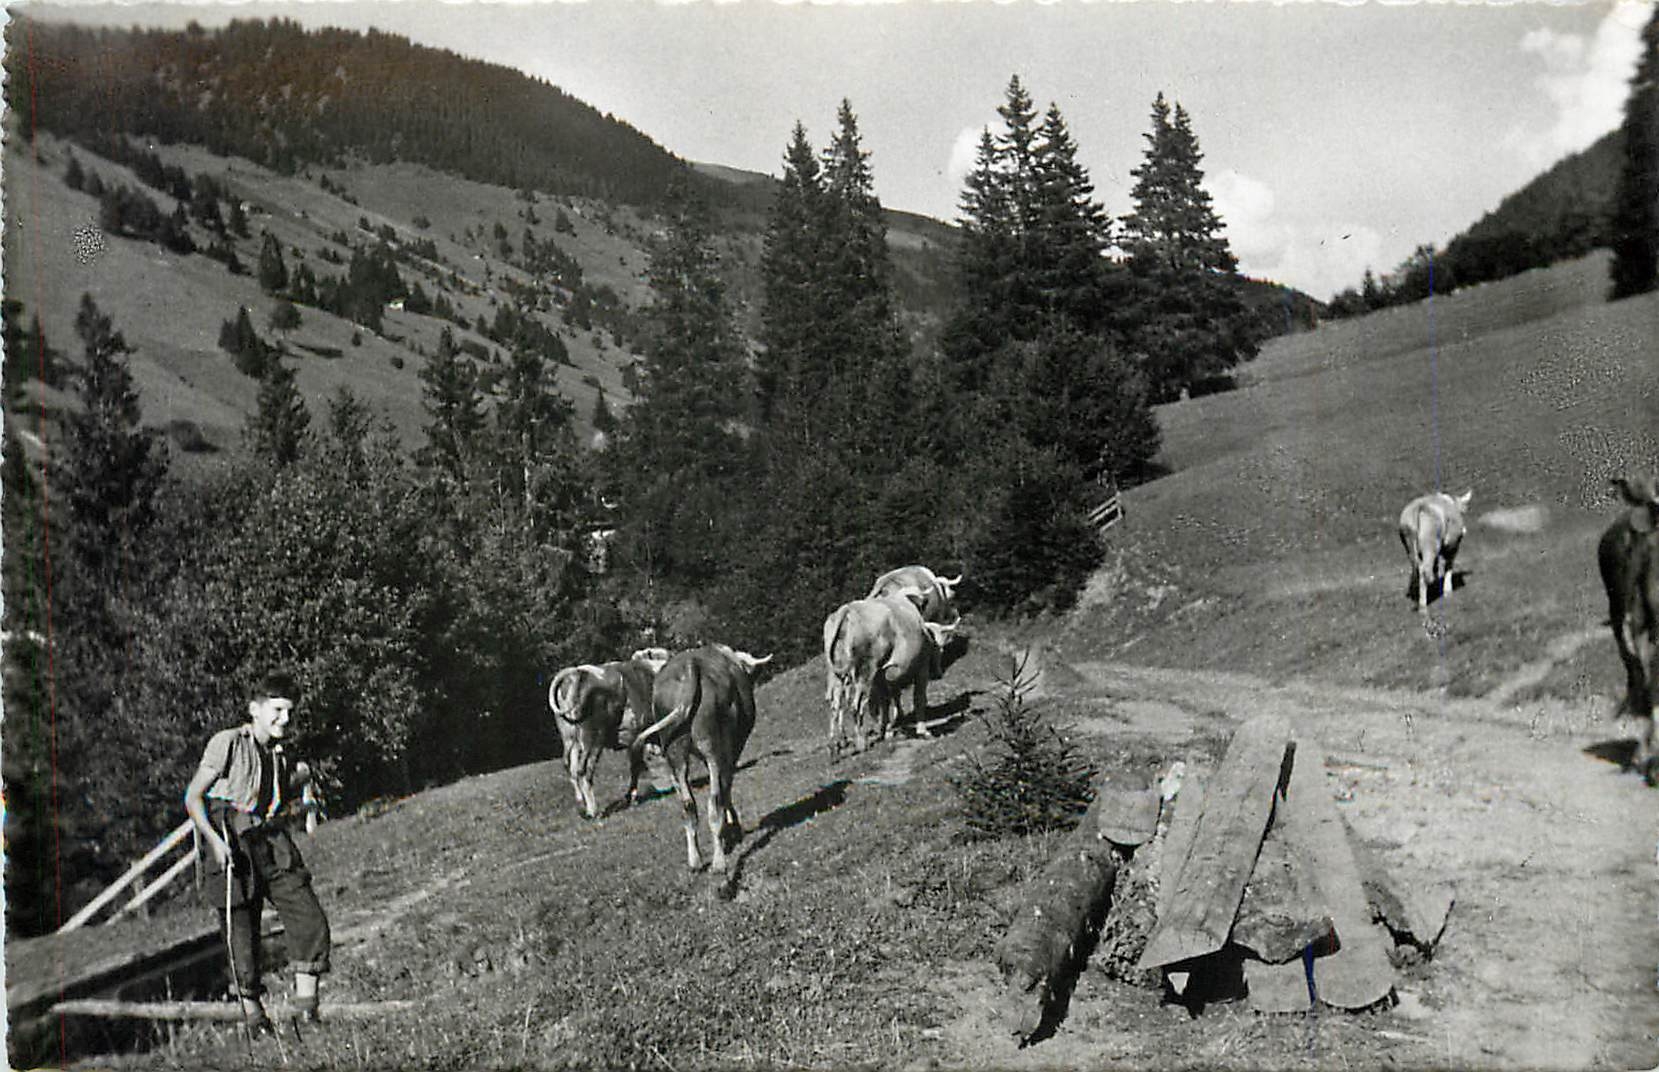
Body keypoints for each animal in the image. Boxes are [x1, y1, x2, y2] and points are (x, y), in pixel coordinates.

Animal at [546, 649, 670, 819]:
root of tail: (575, 672)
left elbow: (637, 766)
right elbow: (637, 766)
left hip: (571, 739)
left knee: (570, 767)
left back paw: (582, 807)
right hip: (593, 739)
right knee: (583, 770)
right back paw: (594, 811)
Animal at [628, 644, 770, 872]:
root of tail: (690, 666)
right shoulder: (731, 751)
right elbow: (726, 790)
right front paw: (733, 828)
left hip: (675, 750)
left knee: (688, 805)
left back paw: (695, 860)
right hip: (713, 746)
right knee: (715, 800)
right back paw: (719, 862)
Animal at [824, 589, 959, 756]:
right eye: (939, 648)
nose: (939, 674)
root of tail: (847, 609)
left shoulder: (882, 678)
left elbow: (885, 703)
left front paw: (885, 730)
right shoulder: (921, 668)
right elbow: (918, 698)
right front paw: (922, 731)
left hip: (837, 674)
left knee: (836, 706)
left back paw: (835, 746)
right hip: (865, 671)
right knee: (857, 705)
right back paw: (861, 743)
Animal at [1398, 489, 1473, 618]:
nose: (1464, 530)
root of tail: (1419, 507)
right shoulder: (1453, 546)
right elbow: (1449, 566)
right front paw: (1448, 591)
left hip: (1410, 545)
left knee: (1417, 570)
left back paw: (1416, 596)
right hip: (1430, 546)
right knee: (1425, 572)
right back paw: (1423, 606)